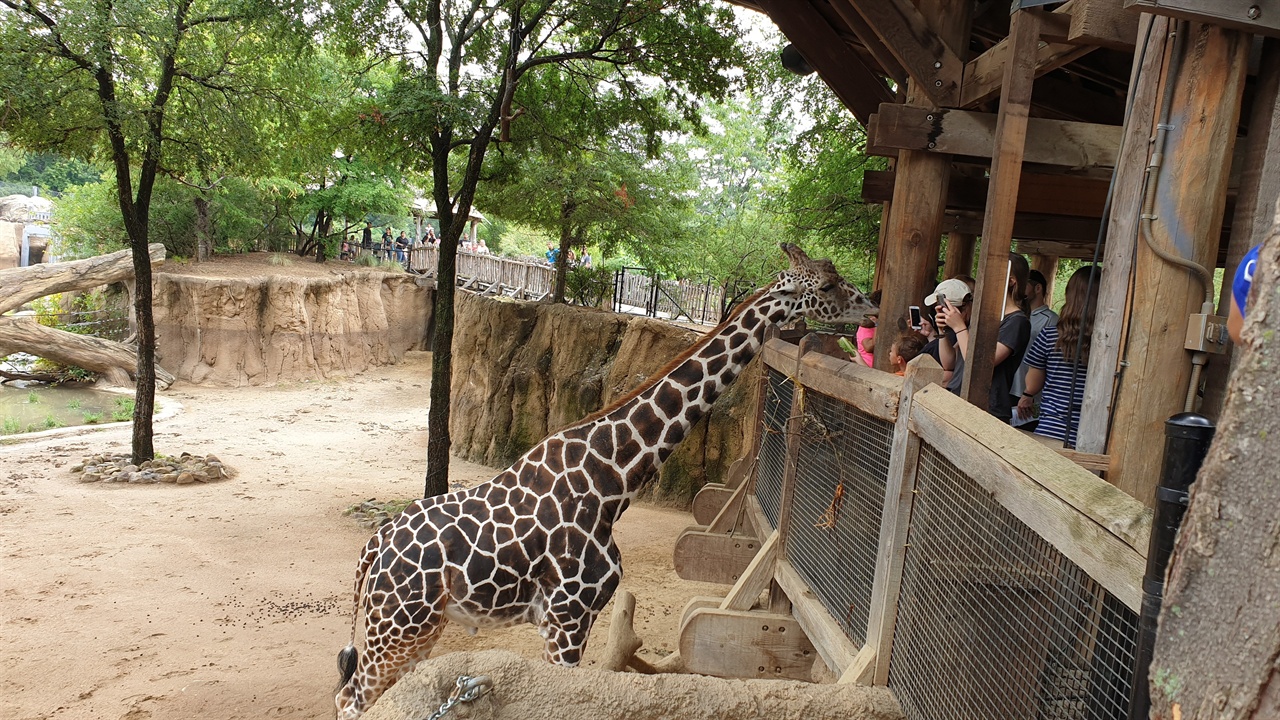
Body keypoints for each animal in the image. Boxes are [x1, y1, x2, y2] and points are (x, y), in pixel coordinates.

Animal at [332, 243, 870, 712]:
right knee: (350, 700)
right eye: (829, 282)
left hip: (416, 629)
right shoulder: (568, 616)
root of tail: (369, 550)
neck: (612, 480)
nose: (870, 308)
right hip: (398, 628)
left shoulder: (568, 621)